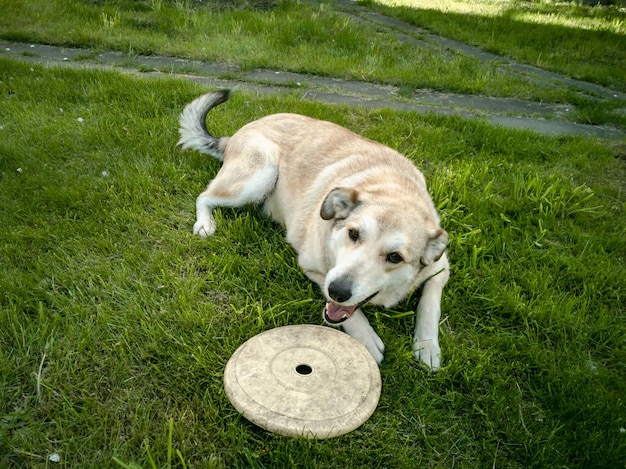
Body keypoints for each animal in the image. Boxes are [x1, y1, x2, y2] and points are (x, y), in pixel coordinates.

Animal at [177, 90, 448, 370]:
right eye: (353, 234)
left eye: (395, 257)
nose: (338, 291)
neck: (395, 191)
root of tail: (240, 131)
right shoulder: (314, 268)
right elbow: (343, 308)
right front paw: (365, 335)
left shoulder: (441, 266)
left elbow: (430, 301)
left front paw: (427, 346)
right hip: (260, 175)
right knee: (204, 196)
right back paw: (205, 224)